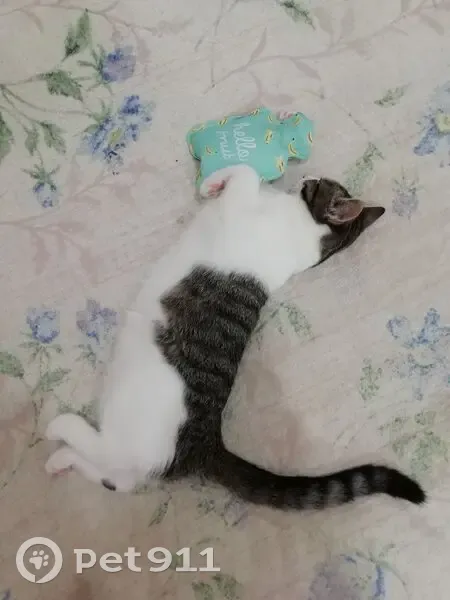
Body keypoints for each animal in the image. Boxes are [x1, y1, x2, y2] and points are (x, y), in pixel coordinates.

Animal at [45, 165, 426, 510]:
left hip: (133, 412)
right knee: (117, 479)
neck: (308, 235)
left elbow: (247, 173)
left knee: (107, 452)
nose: (307, 175)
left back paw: (60, 428)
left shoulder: (242, 209)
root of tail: (205, 444)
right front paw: (216, 184)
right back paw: (60, 461)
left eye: (319, 184)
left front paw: (212, 184)